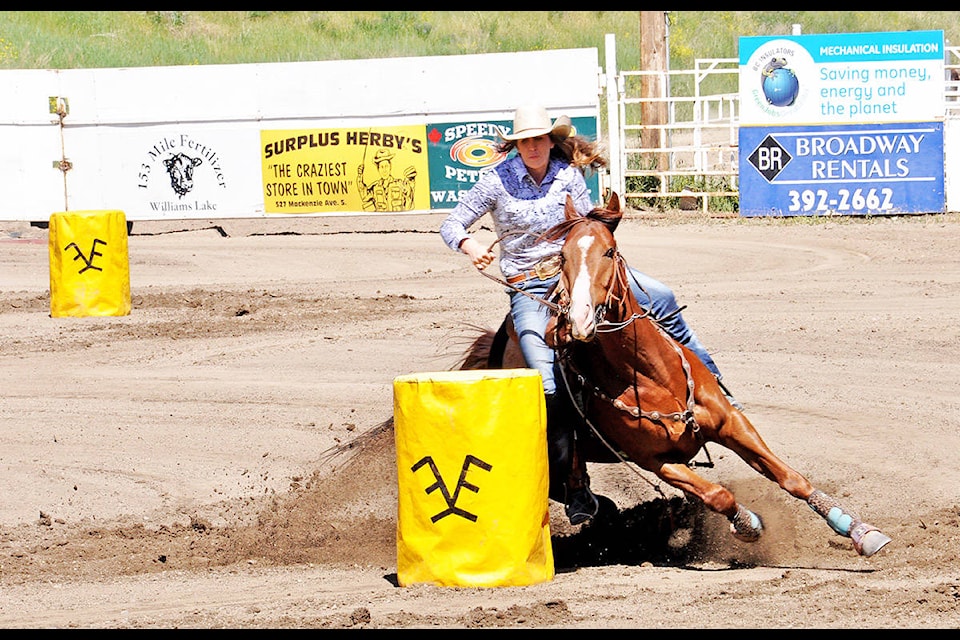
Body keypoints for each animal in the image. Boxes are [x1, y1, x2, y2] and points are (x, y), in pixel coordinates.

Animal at [464, 192, 892, 556]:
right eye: (563, 257)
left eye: (609, 251)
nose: (579, 321)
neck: (650, 376)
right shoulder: (658, 461)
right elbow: (718, 495)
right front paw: (748, 523)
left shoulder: (733, 423)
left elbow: (791, 478)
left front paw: (859, 530)